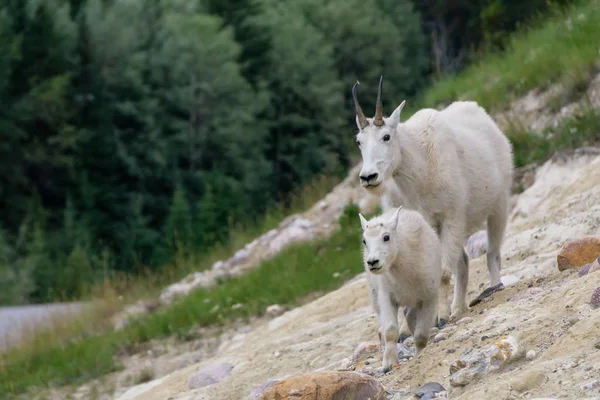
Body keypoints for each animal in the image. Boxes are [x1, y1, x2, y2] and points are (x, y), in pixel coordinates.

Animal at [354, 75, 512, 324]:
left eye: (386, 136)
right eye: (359, 141)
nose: (368, 177)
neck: (419, 170)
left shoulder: (451, 217)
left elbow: (444, 273)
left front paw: (441, 317)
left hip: (499, 204)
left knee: (492, 253)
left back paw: (492, 288)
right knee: (463, 261)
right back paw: (458, 308)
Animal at [358, 208, 442, 374]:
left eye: (386, 237)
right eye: (364, 241)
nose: (372, 262)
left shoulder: (430, 297)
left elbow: (421, 335)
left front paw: (419, 354)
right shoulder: (386, 296)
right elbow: (390, 331)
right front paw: (388, 364)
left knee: (410, 315)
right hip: (376, 297)